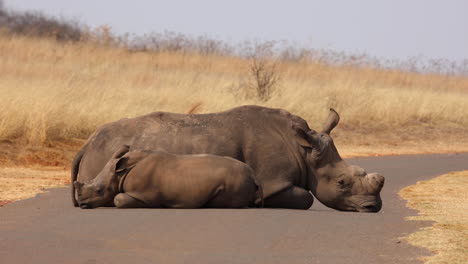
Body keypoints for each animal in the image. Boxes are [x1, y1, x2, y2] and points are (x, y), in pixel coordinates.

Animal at [73, 145, 264, 209]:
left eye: (99, 190)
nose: (81, 204)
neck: (120, 174)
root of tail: (254, 175)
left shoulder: (145, 195)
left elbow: (118, 199)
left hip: (235, 180)